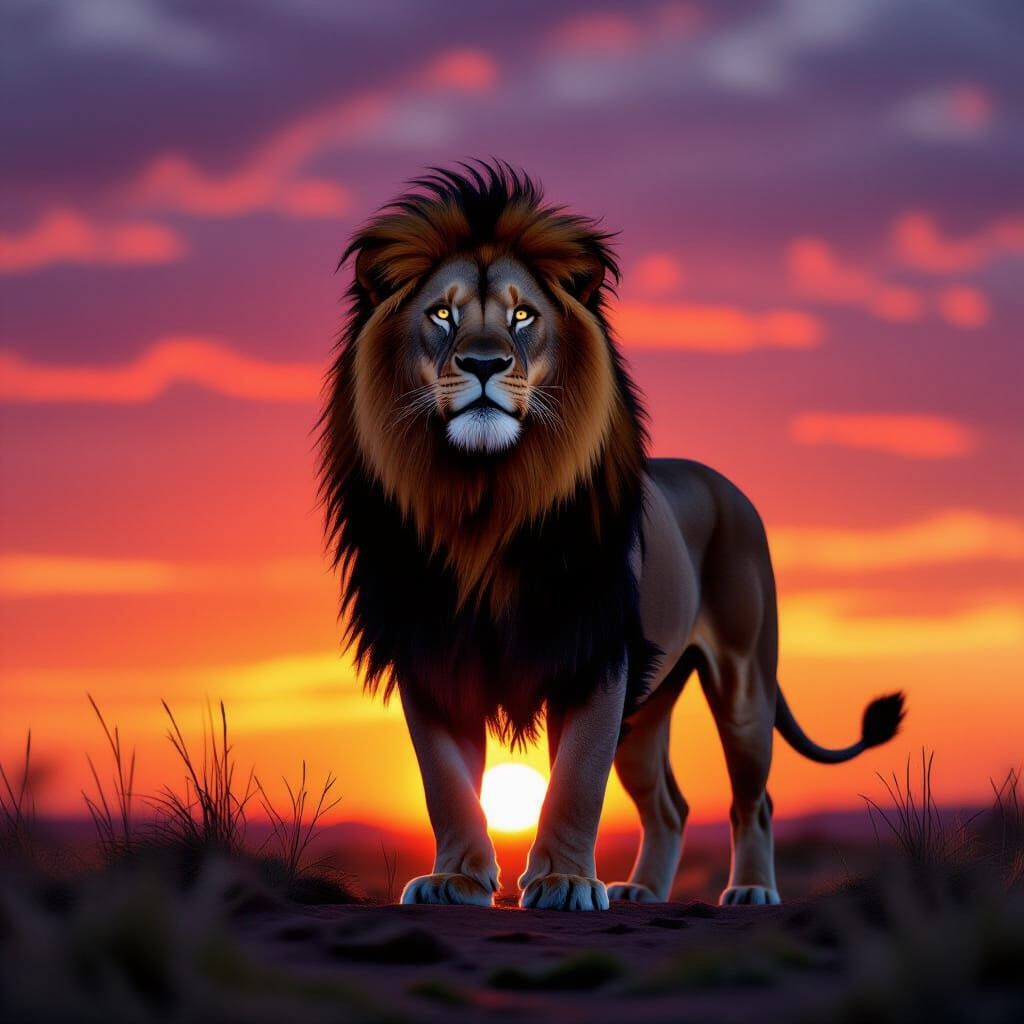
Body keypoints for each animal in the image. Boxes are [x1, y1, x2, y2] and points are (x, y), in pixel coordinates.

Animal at [318, 162, 904, 910]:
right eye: (442, 314)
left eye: (523, 316)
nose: (483, 363)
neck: (483, 499)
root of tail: (725, 484)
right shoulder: (432, 652)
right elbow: (446, 783)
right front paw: (457, 879)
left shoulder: (597, 653)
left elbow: (575, 779)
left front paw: (565, 883)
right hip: (651, 705)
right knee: (670, 805)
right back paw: (642, 891)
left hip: (743, 683)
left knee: (755, 798)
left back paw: (749, 891)